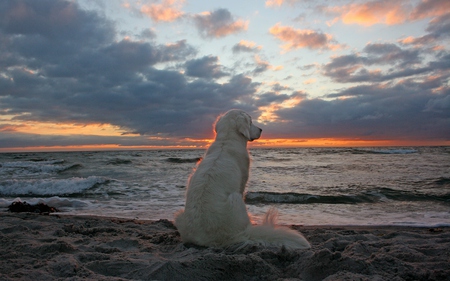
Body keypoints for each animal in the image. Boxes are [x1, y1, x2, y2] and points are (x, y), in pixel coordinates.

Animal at [174, 108, 312, 248]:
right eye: (250, 122)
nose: (261, 129)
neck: (226, 140)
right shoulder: (242, 182)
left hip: (179, 215)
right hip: (236, 198)